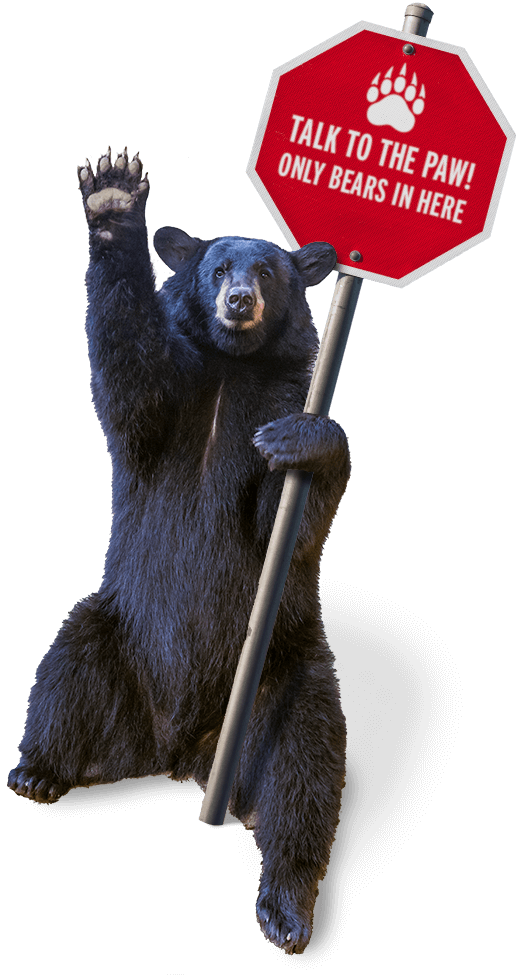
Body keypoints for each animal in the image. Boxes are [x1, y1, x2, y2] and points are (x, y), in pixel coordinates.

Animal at [8, 147, 350, 954]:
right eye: (218, 266)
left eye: (268, 273)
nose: (238, 301)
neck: (233, 368)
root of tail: (174, 753)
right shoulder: (175, 399)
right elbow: (130, 377)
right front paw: (112, 197)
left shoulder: (277, 399)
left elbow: (282, 520)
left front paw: (306, 443)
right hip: (111, 628)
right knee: (64, 671)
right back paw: (38, 772)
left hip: (288, 677)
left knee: (306, 774)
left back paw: (286, 907)